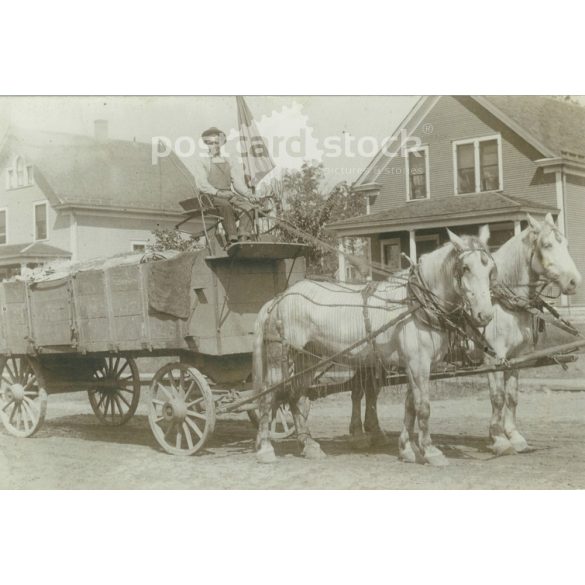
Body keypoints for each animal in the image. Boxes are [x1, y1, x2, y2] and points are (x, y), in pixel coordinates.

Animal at [253, 227, 496, 466]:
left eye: (490, 269)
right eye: (465, 267)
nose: (485, 315)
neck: (416, 304)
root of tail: (278, 299)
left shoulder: (412, 365)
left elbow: (410, 406)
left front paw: (406, 449)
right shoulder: (419, 364)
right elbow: (423, 407)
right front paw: (431, 451)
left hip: (308, 358)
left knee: (296, 396)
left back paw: (309, 445)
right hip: (279, 357)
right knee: (269, 396)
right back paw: (265, 448)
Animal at [484, 214, 580, 456]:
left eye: (565, 244)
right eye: (546, 245)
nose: (575, 282)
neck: (501, 302)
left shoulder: (515, 357)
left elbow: (512, 396)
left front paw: (514, 436)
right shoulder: (492, 358)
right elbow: (497, 398)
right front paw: (499, 439)